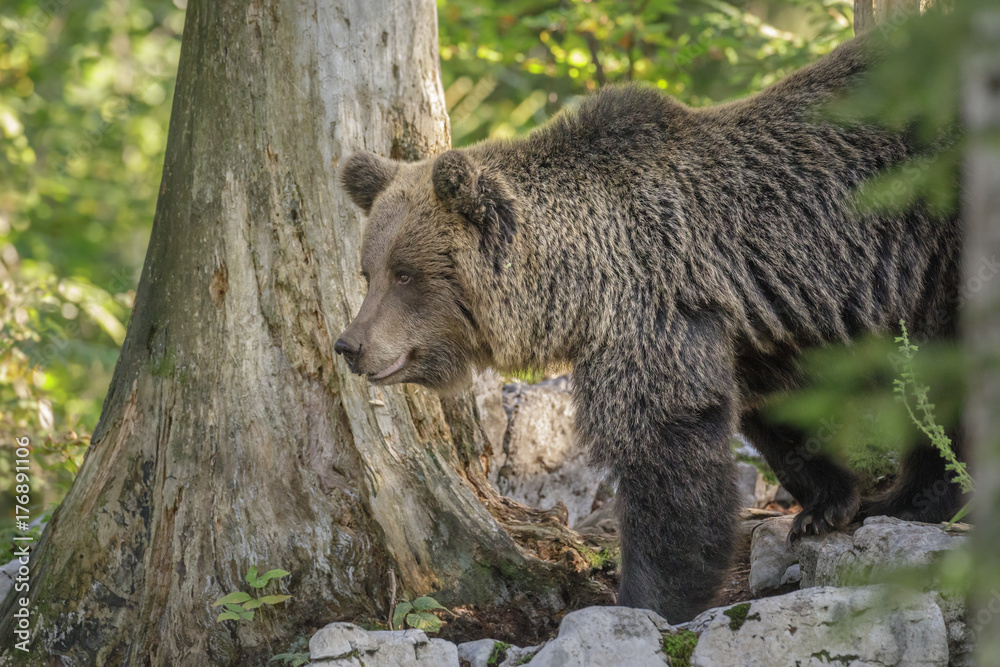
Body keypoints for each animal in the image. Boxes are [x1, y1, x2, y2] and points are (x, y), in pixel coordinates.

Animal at [333, 34, 964, 622]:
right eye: (369, 270)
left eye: (407, 273)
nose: (349, 345)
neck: (576, 287)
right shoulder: (749, 317)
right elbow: (773, 409)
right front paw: (825, 504)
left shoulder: (651, 309)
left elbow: (664, 446)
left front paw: (645, 599)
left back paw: (913, 499)